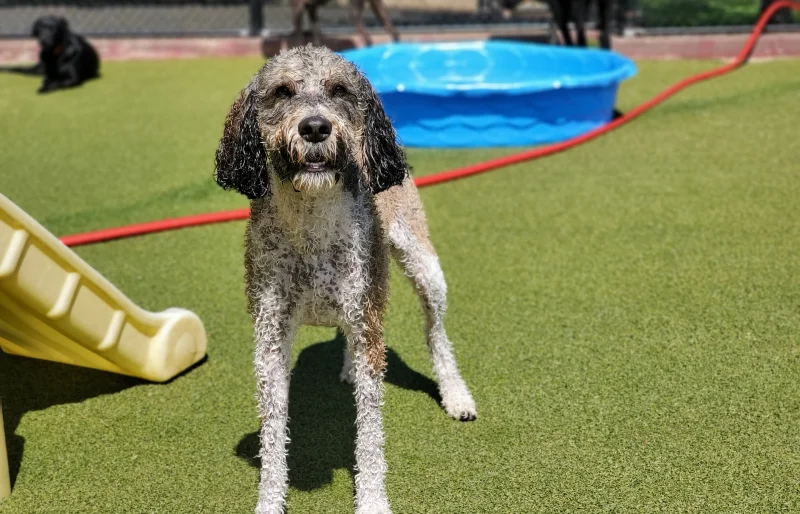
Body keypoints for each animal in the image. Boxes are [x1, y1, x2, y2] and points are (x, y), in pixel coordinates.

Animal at [212, 46, 476, 510]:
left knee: (437, 335)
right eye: (282, 91)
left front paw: (372, 502)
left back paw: (456, 394)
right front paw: (269, 502)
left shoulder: (369, 329)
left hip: (423, 269)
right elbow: (273, 437)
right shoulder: (270, 339)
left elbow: (370, 438)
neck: (312, 226)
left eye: (339, 90)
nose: (315, 127)